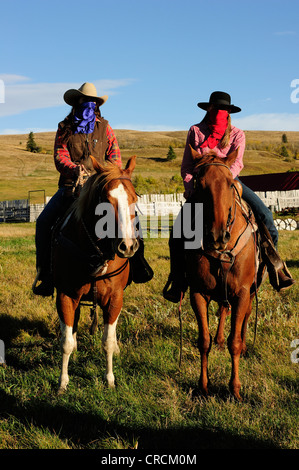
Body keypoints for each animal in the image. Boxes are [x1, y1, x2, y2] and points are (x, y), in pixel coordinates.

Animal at [51, 155, 139, 392]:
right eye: (106, 201)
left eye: (134, 198)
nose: (127, 246)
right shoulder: (66, 295)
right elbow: (65, 342)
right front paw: (63, 382)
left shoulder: (116, 297)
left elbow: (107, 340)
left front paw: (109, 379)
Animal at [186, 147, 264, 400]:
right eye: (199, 184)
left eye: (230, 183)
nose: (217, 236)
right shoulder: (197, 293)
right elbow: (204, 341)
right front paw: (203, 386)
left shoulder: (241, 293)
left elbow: (235, 342)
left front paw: (235, 389)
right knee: (222, 310)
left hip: (251, 291)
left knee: (245, 318)